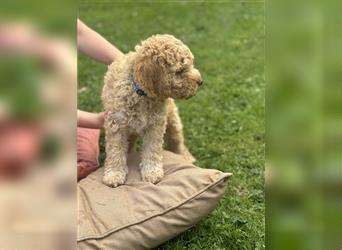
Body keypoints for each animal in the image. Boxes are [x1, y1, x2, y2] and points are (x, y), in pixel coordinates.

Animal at [101, 35, 203, 188]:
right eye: (179, 71)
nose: (200, 82)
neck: (139, 92)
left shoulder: (155, 124)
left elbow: (152, 149)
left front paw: (152, 172)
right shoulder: (116, 124)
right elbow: (115, 151)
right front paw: (114, 174)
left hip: (172, 119)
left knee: (176, 140)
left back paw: (186, 156)